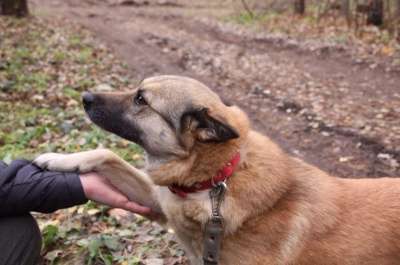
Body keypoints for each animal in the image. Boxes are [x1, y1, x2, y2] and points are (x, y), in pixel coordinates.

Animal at [35, 75, 400, 262]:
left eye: (141, 100)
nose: (85, 97)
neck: (214, 183)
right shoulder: (159, 202)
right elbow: (106, 152)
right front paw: (56, 158)